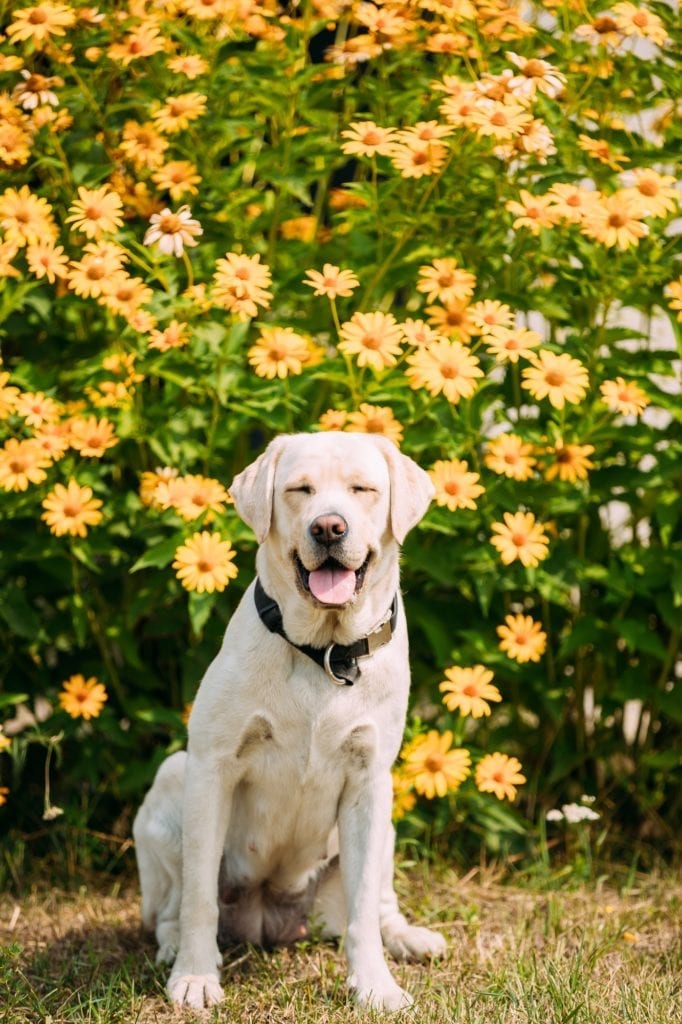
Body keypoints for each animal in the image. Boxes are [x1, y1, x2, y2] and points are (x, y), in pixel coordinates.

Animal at [133, 430, 444, 1007]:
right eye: (300, 489)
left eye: (363, 489)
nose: (328, 527)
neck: (325, 652)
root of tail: (268, 919)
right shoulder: (213, 766)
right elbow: (198, 896)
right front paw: (195, 977)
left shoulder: (369, 780)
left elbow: (363, 912)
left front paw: (374, 985)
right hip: (172, 778)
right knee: (170, 907)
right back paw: (173, 948)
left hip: (387, 821)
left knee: (377, 905)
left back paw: (408, 938)